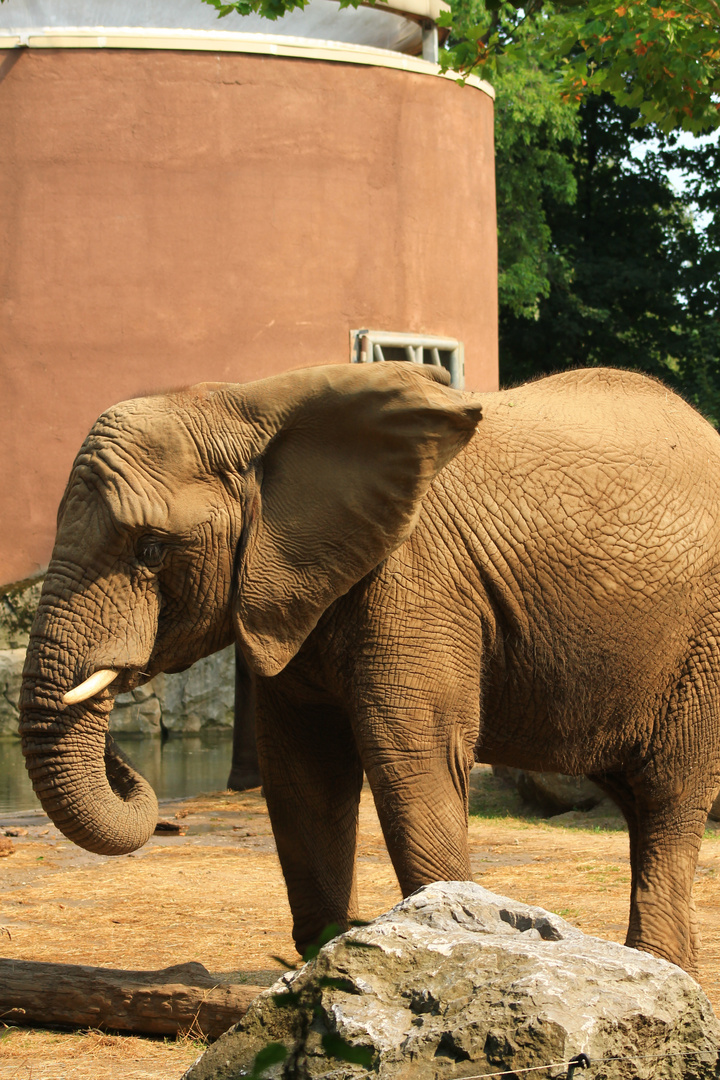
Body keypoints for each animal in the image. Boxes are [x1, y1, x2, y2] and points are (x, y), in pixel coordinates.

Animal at [19, 358, 720, 976]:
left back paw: (657, 971)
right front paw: (324, 969)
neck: (248, 406)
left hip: (703, 645)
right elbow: (303, 765)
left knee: (670, 795)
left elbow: (409, 749)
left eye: (151, 549)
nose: (125, 756)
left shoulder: (418, 577)